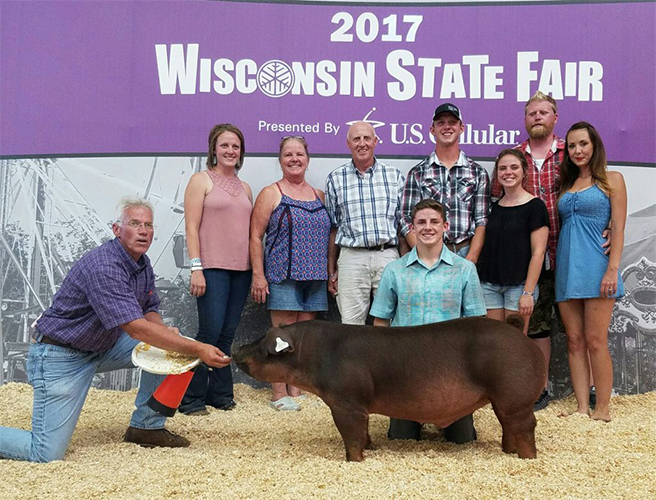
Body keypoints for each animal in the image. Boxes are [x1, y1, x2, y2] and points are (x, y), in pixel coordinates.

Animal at [232, 316, 545, 461]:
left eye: (263, 345)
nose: (237, 347)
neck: (314, 355)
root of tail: (521, 335)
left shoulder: (346, 402)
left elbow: (352, 435)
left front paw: (354, 461)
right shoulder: (360, 407)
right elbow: (364, 431)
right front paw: (372, 447)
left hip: (514, 396)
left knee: (526, 424)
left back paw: (527, 458)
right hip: (502, 401)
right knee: (509, 425)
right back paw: (508, 452)